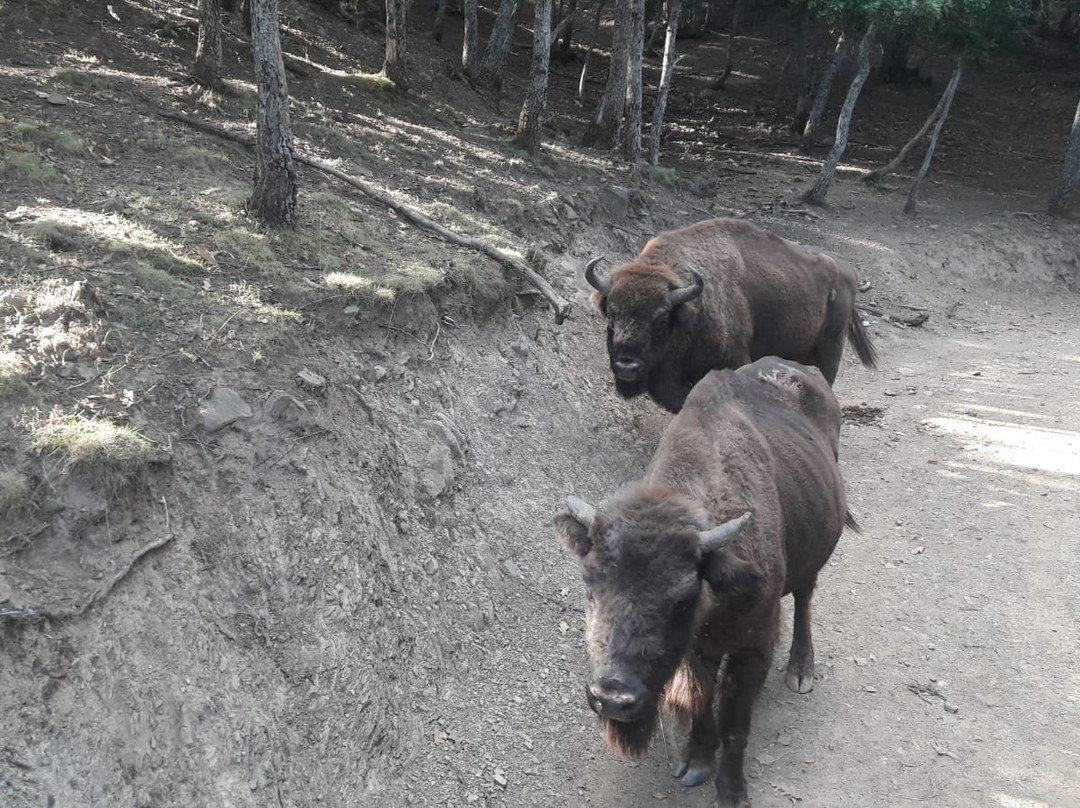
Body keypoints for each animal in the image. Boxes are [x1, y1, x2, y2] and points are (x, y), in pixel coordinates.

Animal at [557, 358, 851, 808]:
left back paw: (801, 671)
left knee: (804, 599)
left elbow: (734, 720)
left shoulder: (754, 645)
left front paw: (731, 792)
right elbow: (701, 697)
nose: (612, 698)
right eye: (590, 586)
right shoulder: (695, 653)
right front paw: (696, 760)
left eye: (683, 597)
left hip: (814, 559)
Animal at [591, 216, 876, 410]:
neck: (690, 309)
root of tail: (846, 270)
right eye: (611, 315)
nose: (626, 366)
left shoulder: (734, 360)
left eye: (660, 317)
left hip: (831, 346)